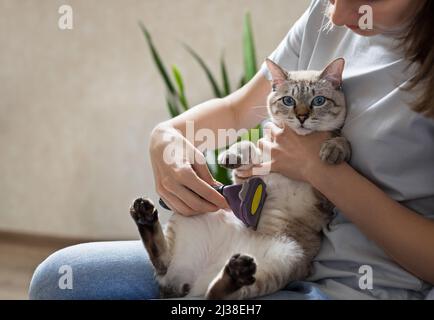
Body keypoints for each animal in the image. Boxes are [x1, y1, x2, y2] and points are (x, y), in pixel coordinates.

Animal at [129, 57, 350, 300]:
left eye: (318, 101)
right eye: (288, 100)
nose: (302, 117)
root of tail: (194, 285)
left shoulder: (323, 197)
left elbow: (341, 142)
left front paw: (333, 150)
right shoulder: (242, 178)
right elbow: (247, 146)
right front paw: (231, 155)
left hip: (284, 260)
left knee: (213, 293)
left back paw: (236, 271)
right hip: (196, 215)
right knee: (165, 264)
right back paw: (144, 213)